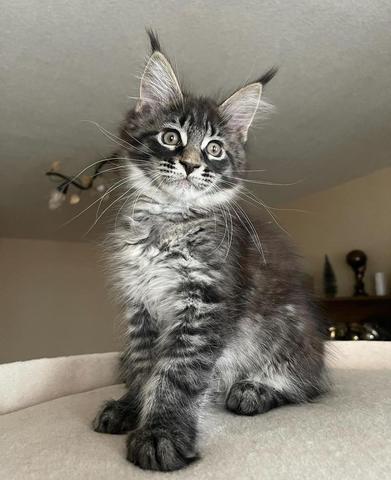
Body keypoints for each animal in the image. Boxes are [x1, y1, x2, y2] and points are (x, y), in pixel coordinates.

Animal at [93, 32, 330, 472]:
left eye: (215, 148)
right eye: (171, 137)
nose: (190, 165)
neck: (167, 221)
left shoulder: (206, 304)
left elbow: (176, 373)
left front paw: (161, 434)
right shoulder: (141, 305)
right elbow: (142, 368)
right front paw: (131, 407)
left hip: (289, 331)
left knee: (308, 385)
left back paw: (254, 390)